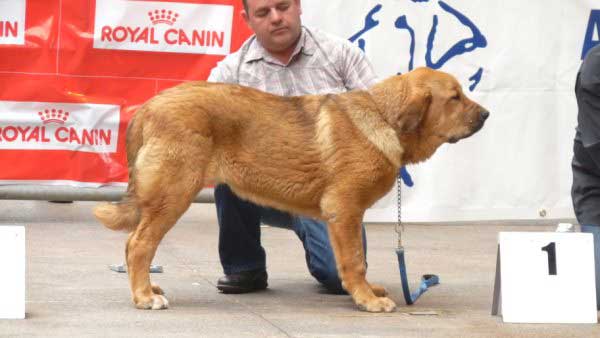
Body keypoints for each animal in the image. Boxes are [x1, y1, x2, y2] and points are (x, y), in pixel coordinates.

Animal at [92, 67, 488, 312]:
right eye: (454, 97)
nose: (486, 115)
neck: (385, 117)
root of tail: (148, 106)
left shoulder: (343, 217)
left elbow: (356, 260)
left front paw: (368, 291)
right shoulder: (345, 210)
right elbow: (354, 261)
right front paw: (366, 299)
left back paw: (149, 289)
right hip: (174, 194)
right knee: (139, 245)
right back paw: (145, 296)